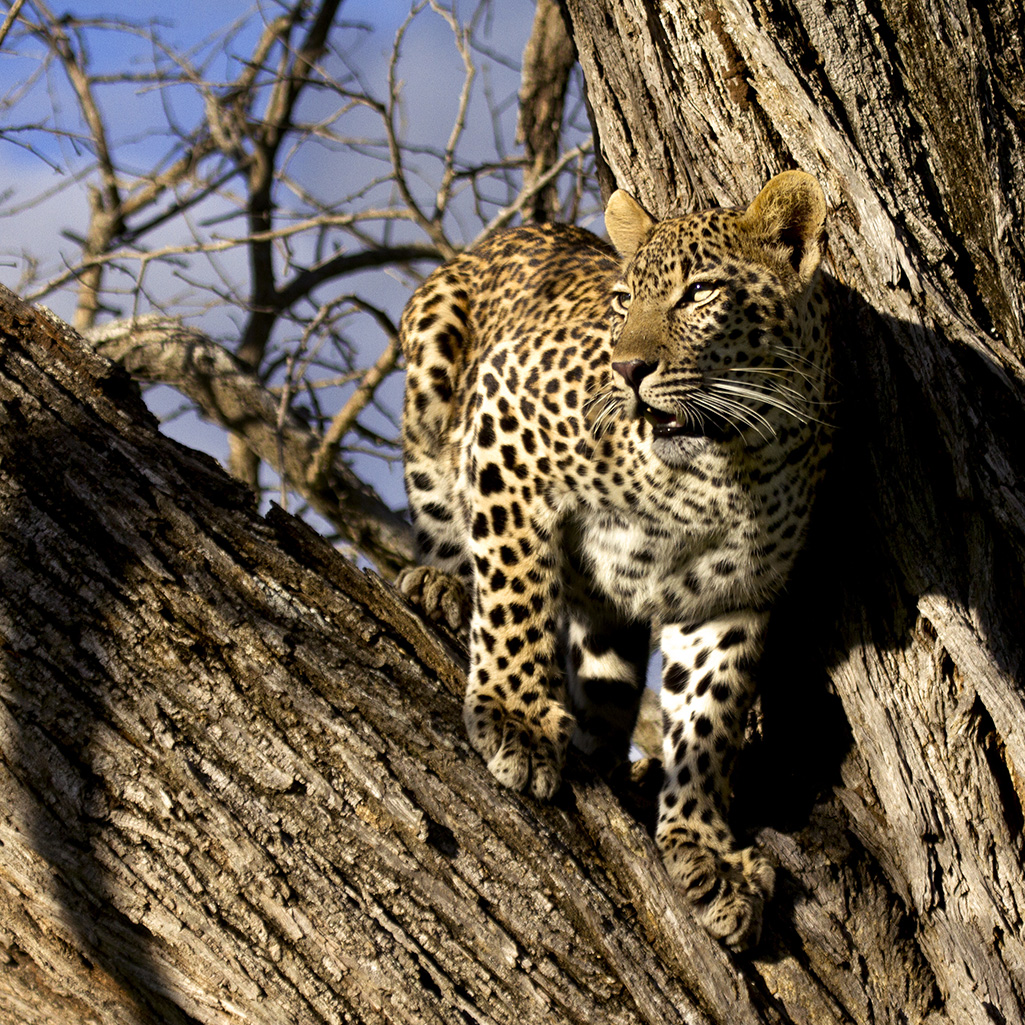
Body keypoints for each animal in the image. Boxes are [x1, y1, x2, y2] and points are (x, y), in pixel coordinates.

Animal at [395, 172, 828, 947]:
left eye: (699, 293)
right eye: (626, 299)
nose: (628, 369)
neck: (723, 467)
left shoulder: (727, 595)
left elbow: (708, 717)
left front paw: (704, 846)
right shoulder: (509, 424)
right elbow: (515, 594)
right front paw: (515, 719)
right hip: (432, 366)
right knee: (442, 507)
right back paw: (440, 583)